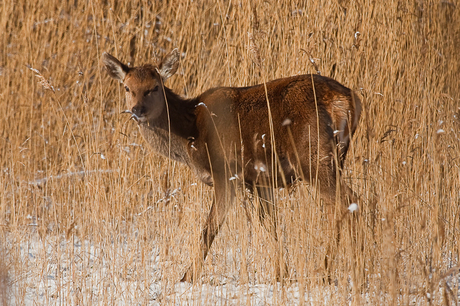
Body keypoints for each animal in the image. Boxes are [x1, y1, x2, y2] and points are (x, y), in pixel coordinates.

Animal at [102, 49, 362, 284]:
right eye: (127, 87)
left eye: (154, 87)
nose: (137, 110)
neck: (191, 135)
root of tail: (346, 101)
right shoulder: (260, 180)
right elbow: (270, 224)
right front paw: (282, 275)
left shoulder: (225, 172)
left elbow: (210, 228)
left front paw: (187, 277)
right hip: (334, 156)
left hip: (311, 155)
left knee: (347, 200)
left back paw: (331, 271)